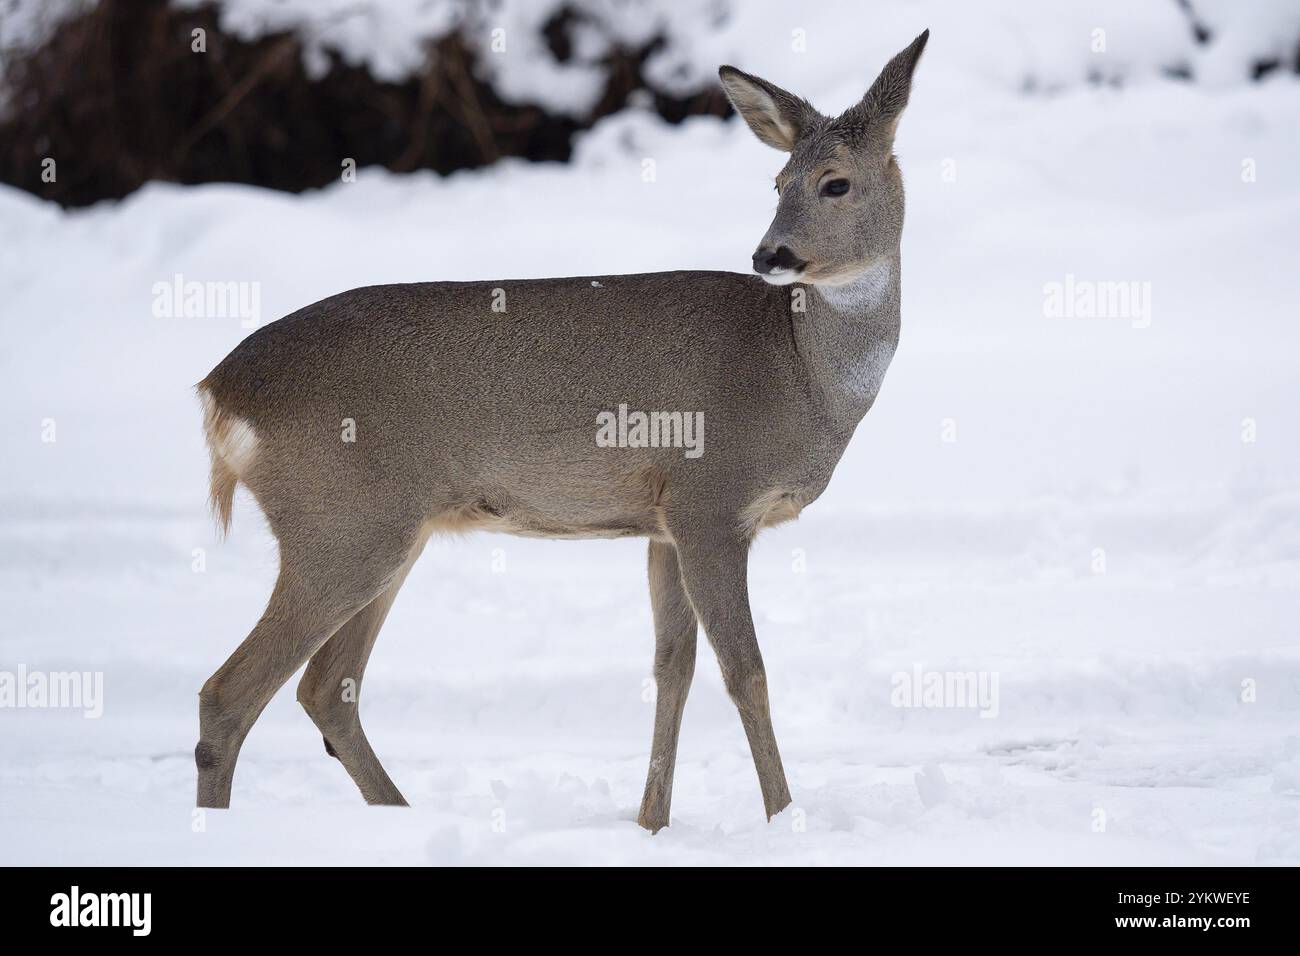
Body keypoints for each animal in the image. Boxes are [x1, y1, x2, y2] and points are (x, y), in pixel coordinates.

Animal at [192, 29, 930, 832]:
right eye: (778, 183)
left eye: (834, 183)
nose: (771, 255)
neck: (800, 373)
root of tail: (218, 388)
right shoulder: (711, 499)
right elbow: (746, 671)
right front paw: (782, 820)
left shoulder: (663, 522)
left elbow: (672, 668)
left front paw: (650, 823)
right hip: (340, 523)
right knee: (229, 694)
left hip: (386, 530)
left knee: (325, 687)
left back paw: (402, 816)